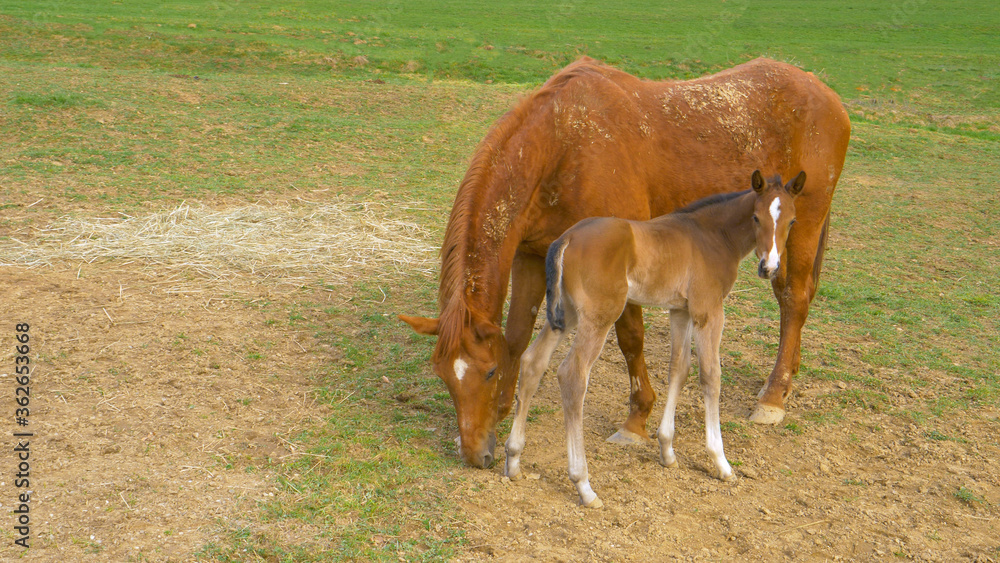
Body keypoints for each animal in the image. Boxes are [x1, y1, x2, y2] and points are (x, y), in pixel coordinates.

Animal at [398, 58, 852, 472]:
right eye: (443, 376)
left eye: (488, 373)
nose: (475, 454)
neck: (563, 146)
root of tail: (824, 91)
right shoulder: (531, 257)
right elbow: (518, 333)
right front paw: (508, 412)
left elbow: (630, 337)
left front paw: (637, 420)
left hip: (801, 229)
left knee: (793, 300)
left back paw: (774, 396)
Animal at [508, 171, 804, 506]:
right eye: (756, 217)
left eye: (792, 221)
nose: (770, 268)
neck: (712, 236)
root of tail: (567, 237)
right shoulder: (708, 311)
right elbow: (710, 376)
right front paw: (721, 462)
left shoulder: (680, 311)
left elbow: (679, 368)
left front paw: (667, 450)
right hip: (598, 317)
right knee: (572, 375)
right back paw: (583, 484)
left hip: (567, 312)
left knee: (533, 361)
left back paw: (513, 459)